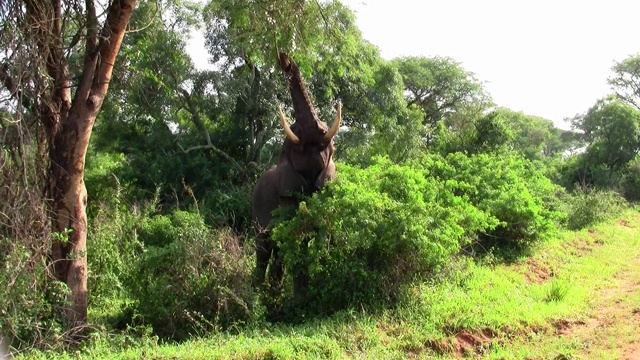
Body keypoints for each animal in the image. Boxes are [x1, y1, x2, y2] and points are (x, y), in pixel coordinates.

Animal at [250, 52, 340, 296]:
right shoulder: (286, 193)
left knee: (277, 253)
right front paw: (301, 298)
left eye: (329, 146)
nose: (285, 59)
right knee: (264, 250)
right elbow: (296, 237)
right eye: (295, 130)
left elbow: (323, 233)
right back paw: (259, 295)